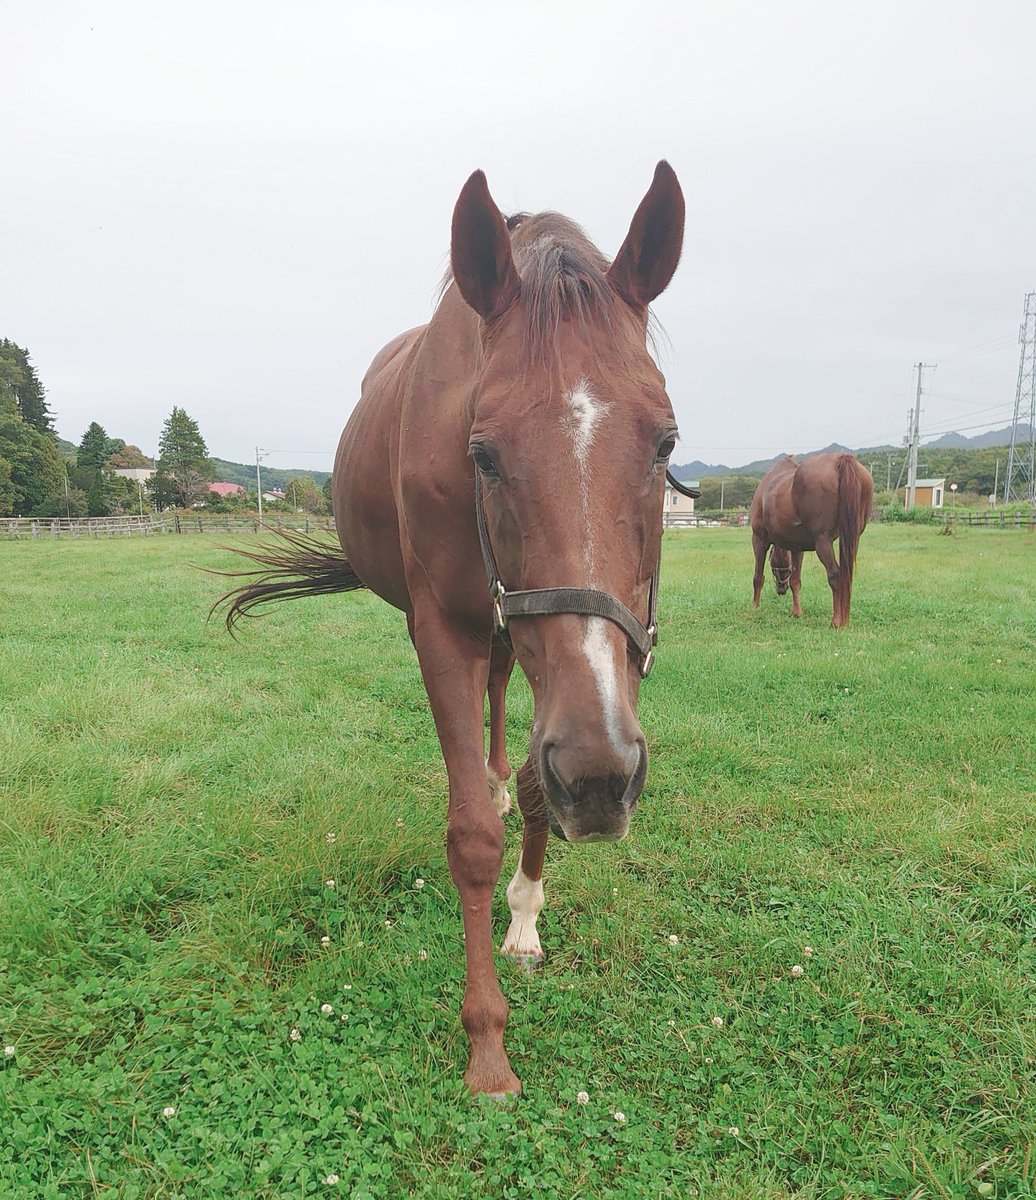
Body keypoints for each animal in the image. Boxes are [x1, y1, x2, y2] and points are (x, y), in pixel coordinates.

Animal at [216, 163, 686, 1097]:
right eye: (483, 454)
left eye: (665, 443)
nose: (602, 782)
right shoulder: (441, 630)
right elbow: (470, 833)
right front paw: (487, 1046)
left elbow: (536, 784)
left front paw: (527, 922)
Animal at [750, 452, 873, 627]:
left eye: (775, 568)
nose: (781, 590)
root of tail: (841, 458)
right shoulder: (797, 548)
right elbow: (796, 581)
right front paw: (797, 612)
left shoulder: (759, 540)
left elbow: (758, 578)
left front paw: (755, 608)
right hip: (852, 538)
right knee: (845, 575)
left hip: (823, 542)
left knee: (835, 575)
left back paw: (836, 621)